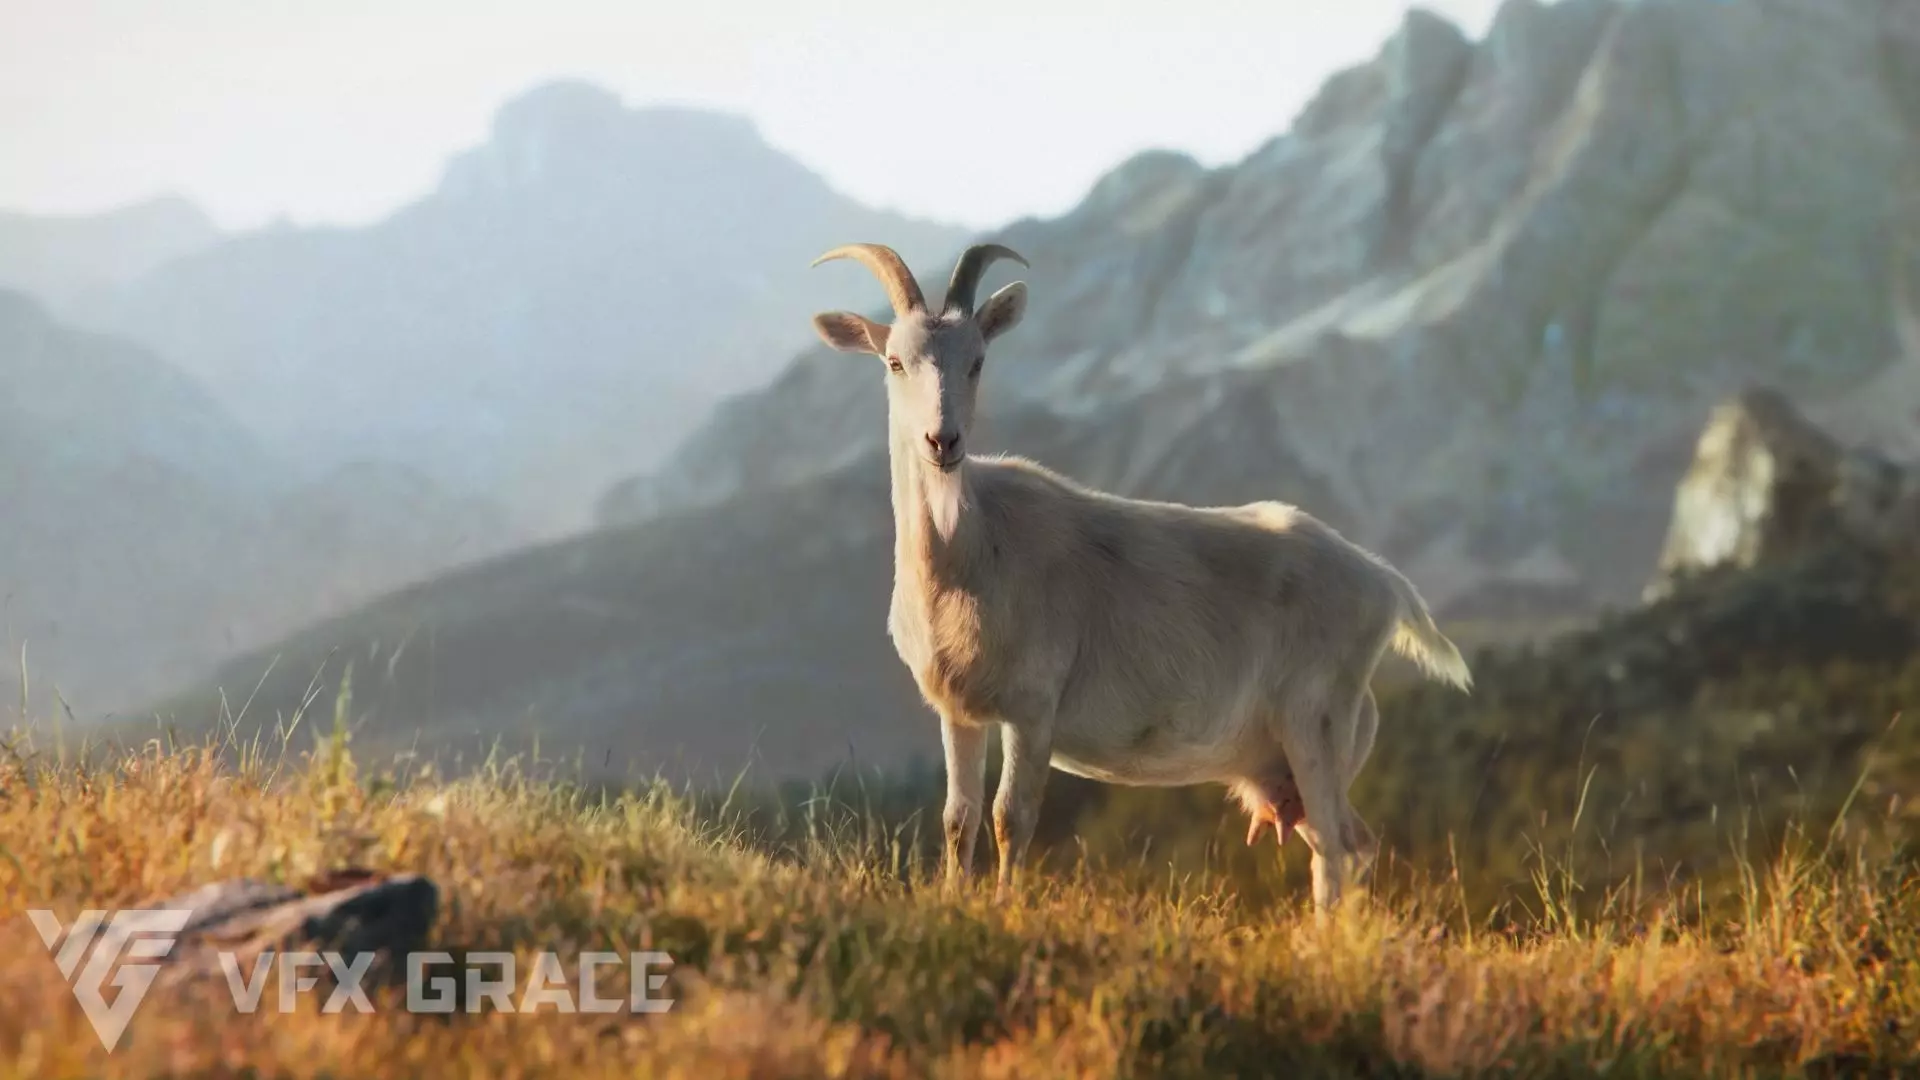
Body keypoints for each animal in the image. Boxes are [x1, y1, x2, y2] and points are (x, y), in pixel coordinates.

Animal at [809, 242, 1472, 909]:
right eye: (895, 361)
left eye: (977, 361)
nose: (942, 441)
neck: (970, 553)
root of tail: (1383, 584)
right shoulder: (961, 712)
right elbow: (958, 818)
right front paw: (958, 900)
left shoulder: (1033, 705)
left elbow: (1010, 817)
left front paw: (1006, 906)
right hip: (1292, 755)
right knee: (1351, 842)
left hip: (1318, 721)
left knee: (1337, 847)